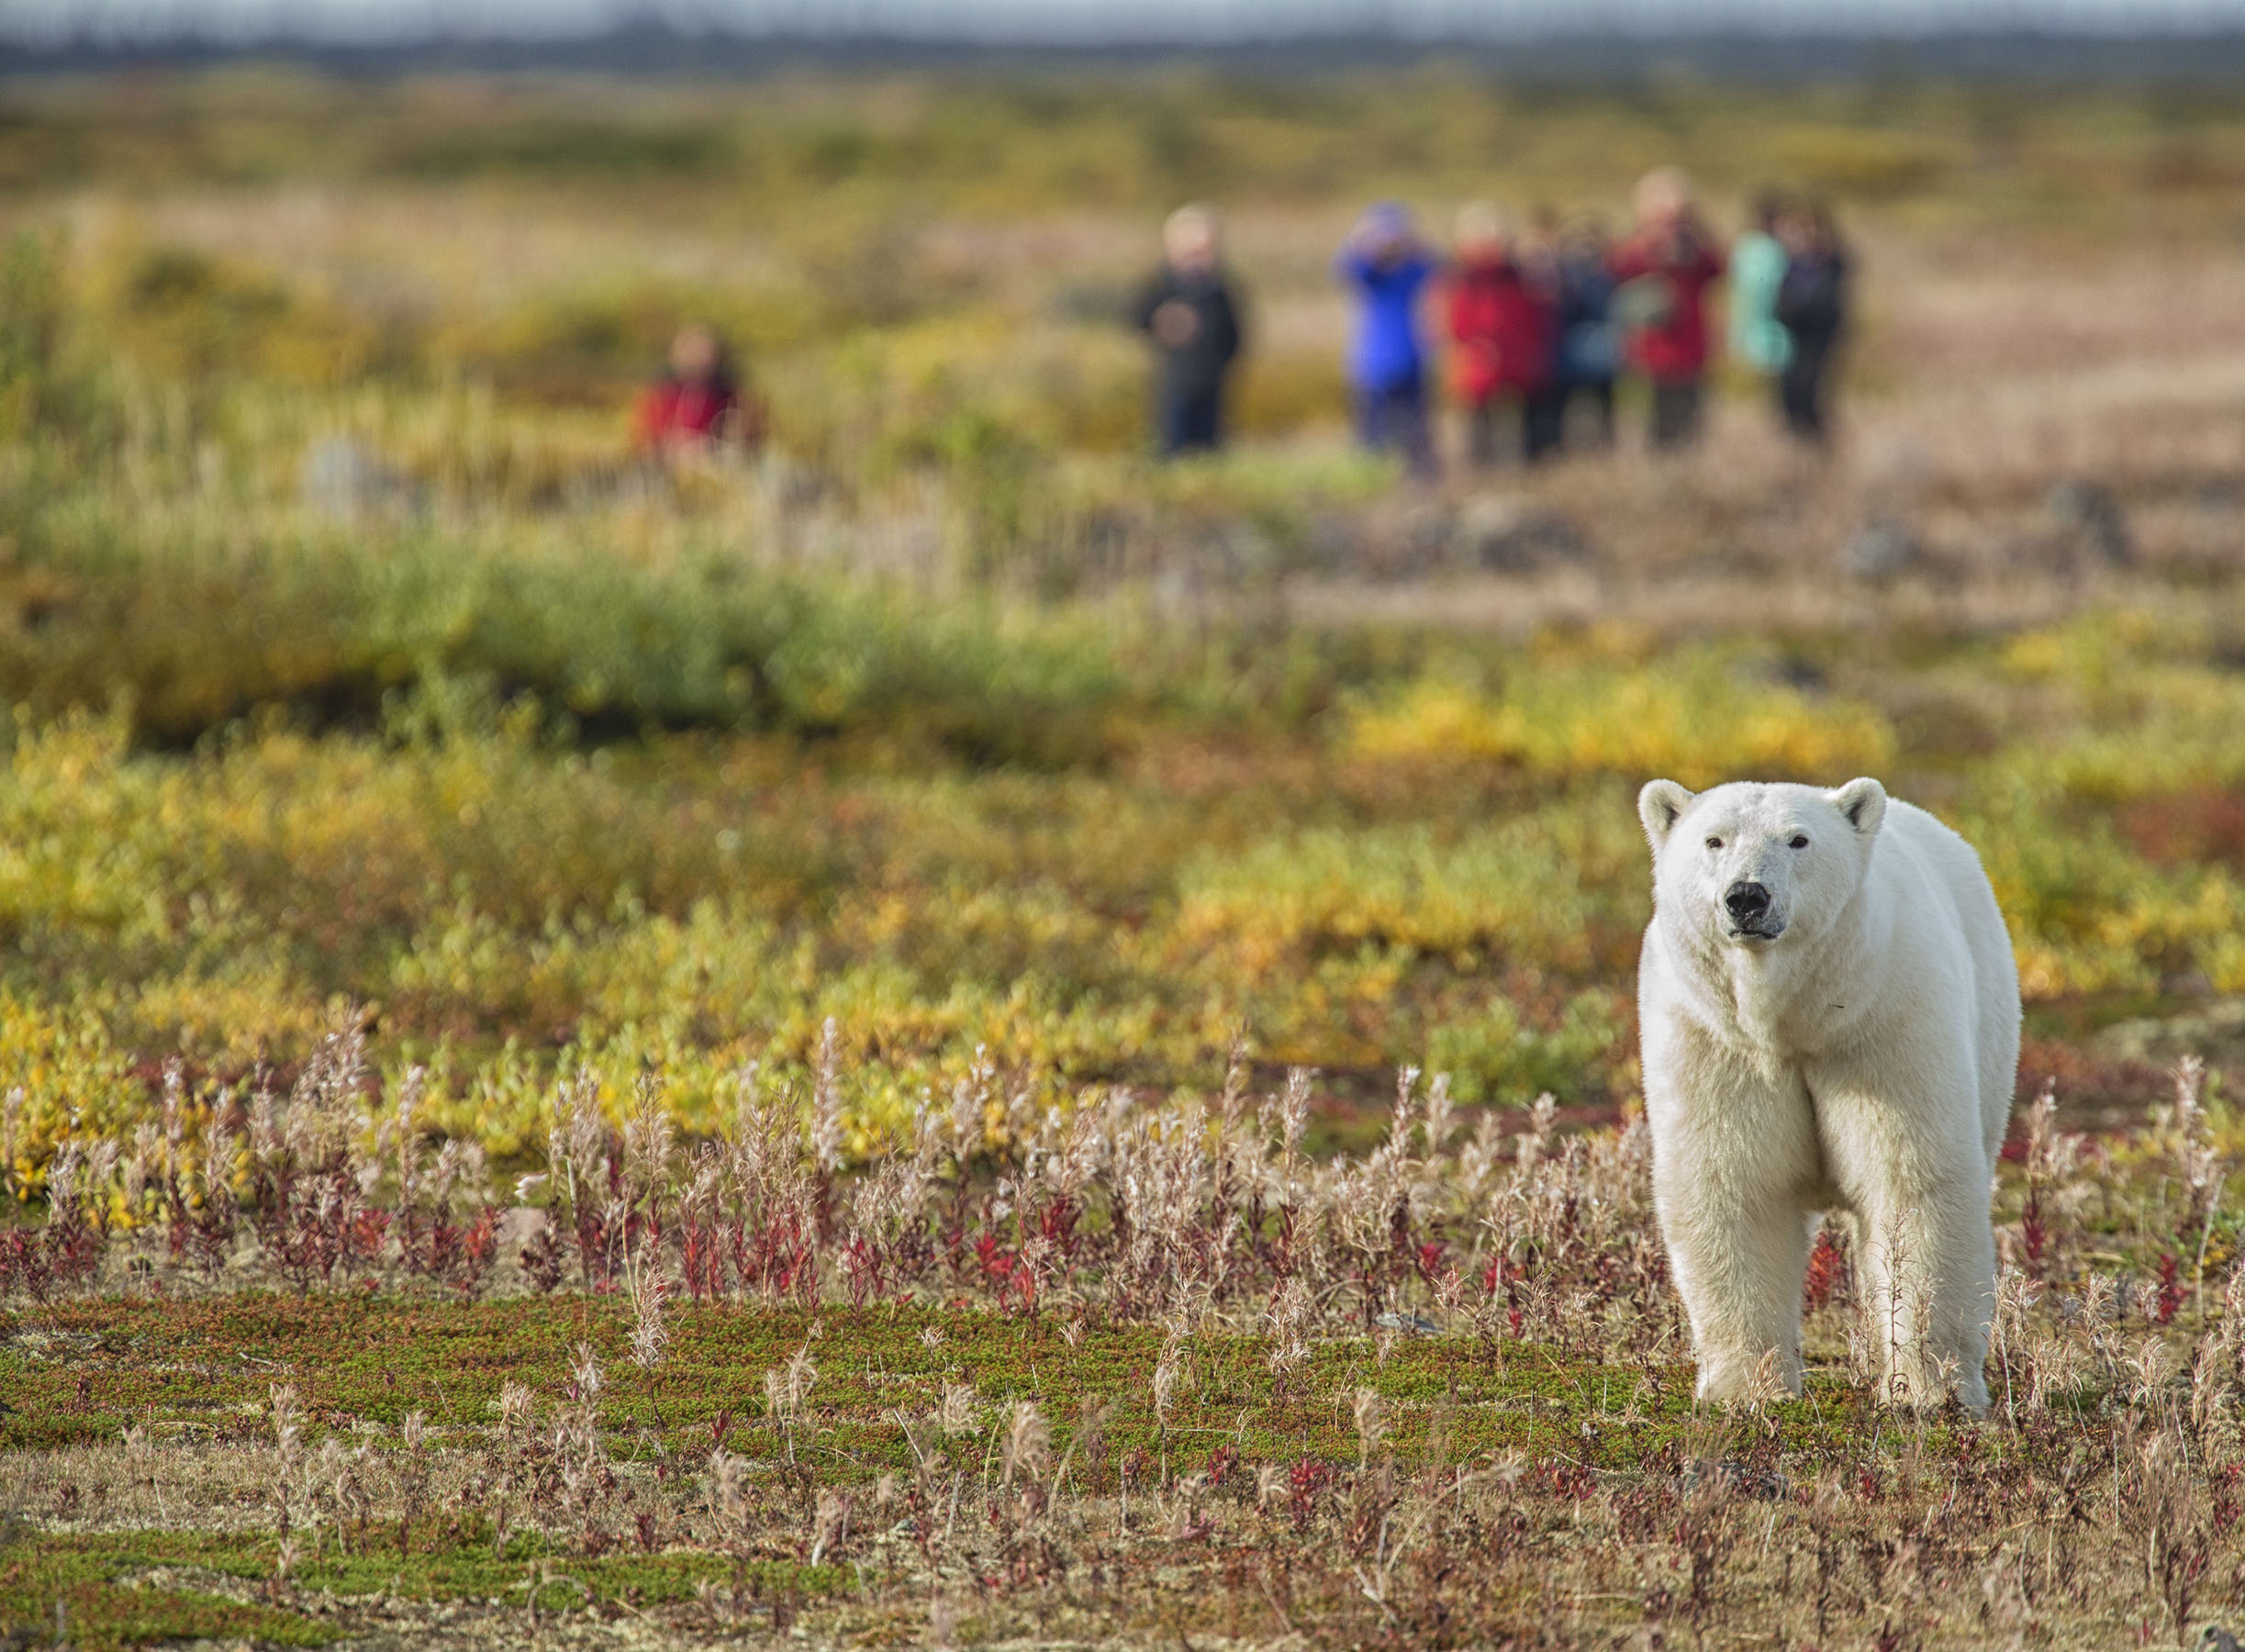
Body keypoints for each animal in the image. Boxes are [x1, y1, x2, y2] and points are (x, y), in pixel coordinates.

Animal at [1634, 776, 2020, 1409]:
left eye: (1799, 840)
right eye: (1714, 840)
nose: (1747, 897)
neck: (1794, 1021)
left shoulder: (1883, 1024)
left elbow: (1910, 1182)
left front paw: (1927, 1389)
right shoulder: (1715, 1040)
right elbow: (1734, 1185)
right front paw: (1748, 1390)